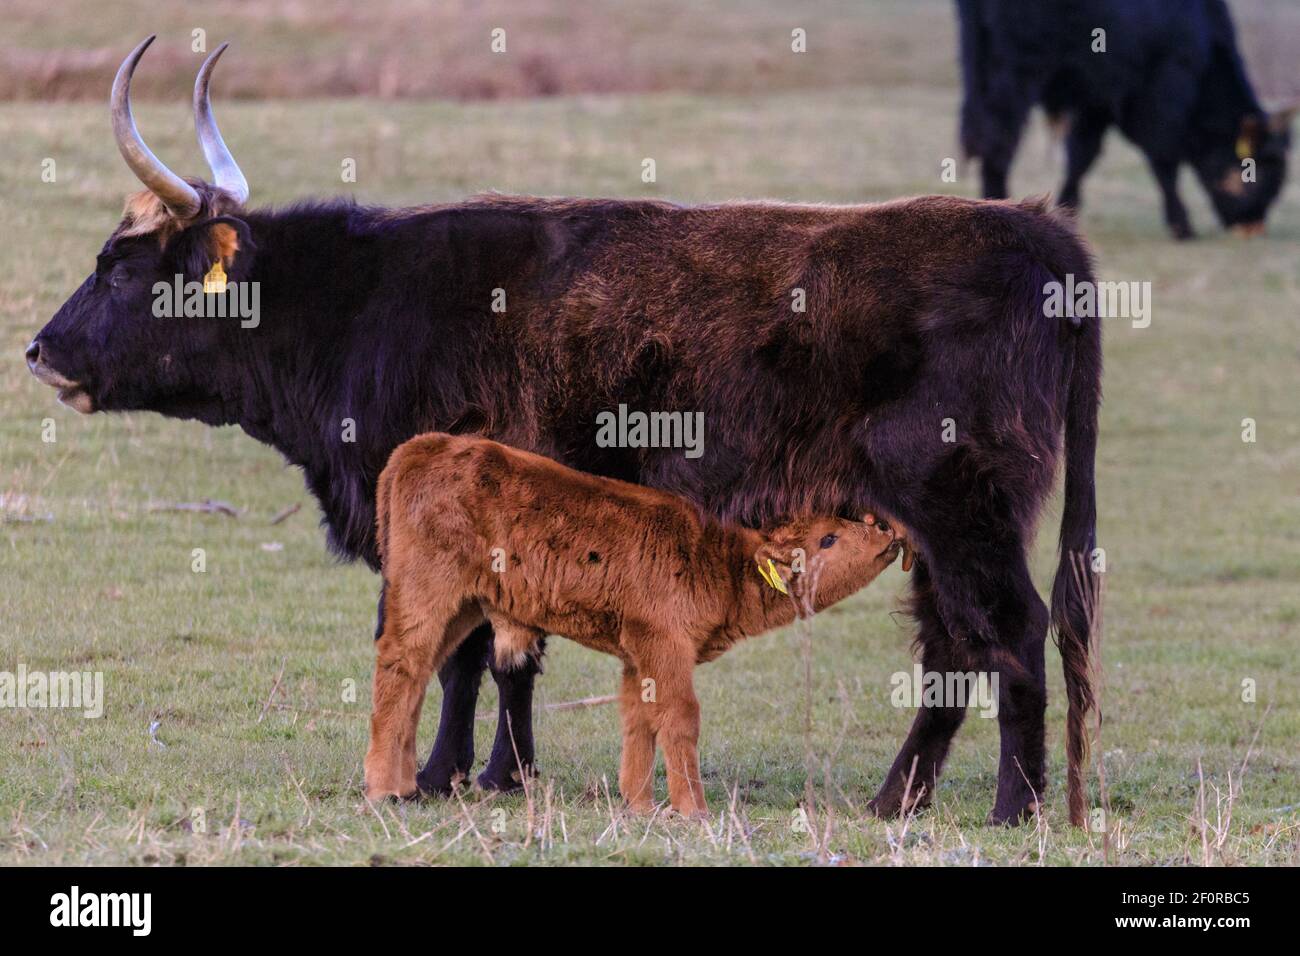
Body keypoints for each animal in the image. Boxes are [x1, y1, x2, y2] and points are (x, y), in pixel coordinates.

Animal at [366, 434, 904, 816]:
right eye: (828, 538)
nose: (886, 528)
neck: (717, 558)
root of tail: (424, 445)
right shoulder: (665, 646)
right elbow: (680, 718)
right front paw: (693, 810)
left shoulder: (637, 655)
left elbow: (640, 720)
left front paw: (640, 804)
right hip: (428, 594)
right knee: (398, 669)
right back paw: (382, 789)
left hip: (461, 609)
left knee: (416, 678)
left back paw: (407, 786)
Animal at [961, 0, 1294, 238]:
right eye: (1261, 172)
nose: (1252, 227)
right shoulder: (1159, 94)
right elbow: (1164, 160)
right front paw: (1181, 225)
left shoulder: (1096, 101)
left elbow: (1082, 156)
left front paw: (1068, 212)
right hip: (1017, 70)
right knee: (998, 138)